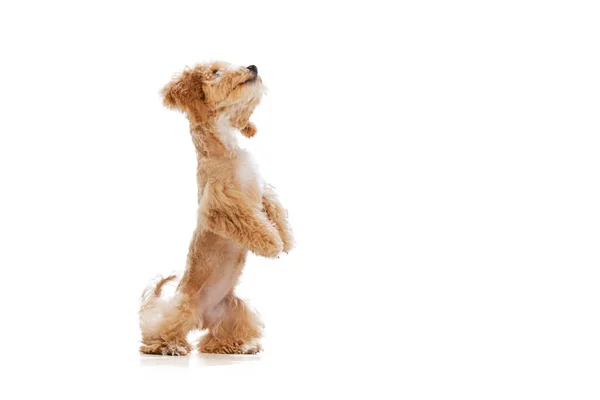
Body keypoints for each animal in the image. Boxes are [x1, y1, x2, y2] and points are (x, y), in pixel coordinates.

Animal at [138, 61, 292, 356]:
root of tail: (204, 316)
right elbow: (250, 221)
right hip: (183, 306)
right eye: (215, 73)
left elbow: (274, 208)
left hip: (234, 309)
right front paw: (271, 244)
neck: (226, 149)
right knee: (160, 331)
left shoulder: (260, 189)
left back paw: (241, 346)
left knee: (216, 339)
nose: (252, 66)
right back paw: (169, 346)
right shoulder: (221, 205)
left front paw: (286, 238)